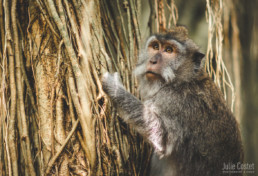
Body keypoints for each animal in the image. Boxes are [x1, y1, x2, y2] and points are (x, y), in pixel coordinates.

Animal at [102, 26, 243, 176]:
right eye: (155, 46)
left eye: (169, 50)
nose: (152, 61)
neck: (182, 80)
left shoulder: (175, 102)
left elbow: (161, 135)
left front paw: (115, 88)